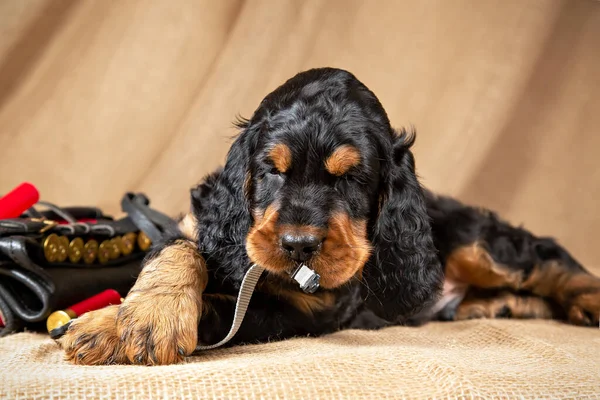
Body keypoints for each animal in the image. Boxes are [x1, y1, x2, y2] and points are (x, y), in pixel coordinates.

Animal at [57, 68, 600, 366]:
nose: (298, 245)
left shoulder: (308, 311)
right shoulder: (204, 224)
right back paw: (503, 307)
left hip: (478, 245)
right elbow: (178, 248)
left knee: (549, 260)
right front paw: (142, 317)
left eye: (351, 179)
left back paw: (583, 301)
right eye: (270, 171)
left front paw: (118, 325)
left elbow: (226, 310)